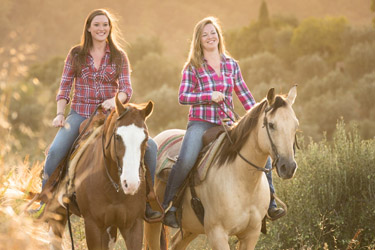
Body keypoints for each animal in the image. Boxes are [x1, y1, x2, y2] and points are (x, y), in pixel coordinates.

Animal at [43, 94, 154, 249]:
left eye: (145, 138)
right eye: (117, 136)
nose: (131, 184)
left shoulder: (133, 225)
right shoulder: (93, 225)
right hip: (57, 212)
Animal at [145, 86, 302, 250]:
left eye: (295, 126)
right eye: (271, 125)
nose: (288, 167)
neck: (243, 181)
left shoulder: (251, 234)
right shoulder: (217, 234)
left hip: (190, 228)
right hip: (153, 224)